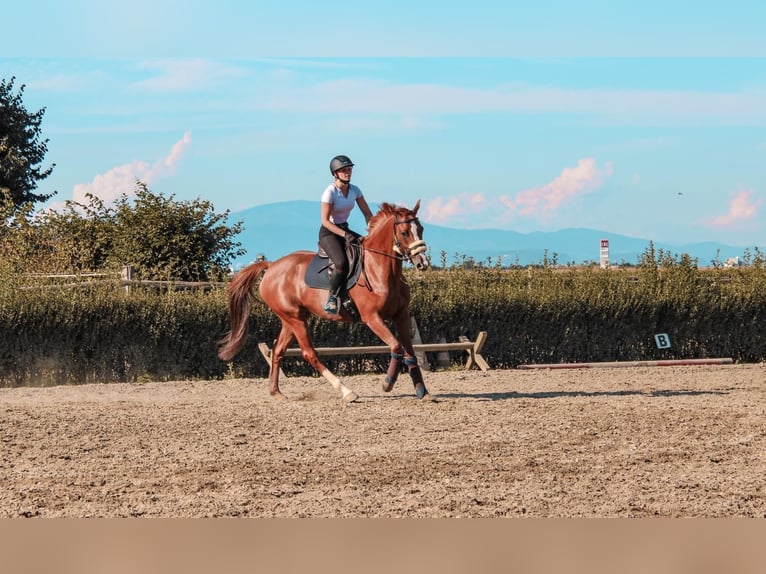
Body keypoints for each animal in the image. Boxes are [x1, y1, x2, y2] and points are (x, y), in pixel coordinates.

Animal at [218, 200, 432, 402]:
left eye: (420, 229)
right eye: (404, 232)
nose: (422, 263)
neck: (380, 270)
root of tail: (271, 267)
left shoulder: (401, 315)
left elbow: (410, 352)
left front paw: (423, 391)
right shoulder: (372, 318)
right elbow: (396, 347)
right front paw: (388, 383)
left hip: (291, 319)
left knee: (278, 350)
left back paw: (276, 392)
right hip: (296, 319)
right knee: (309, 353)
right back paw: (347, 392)